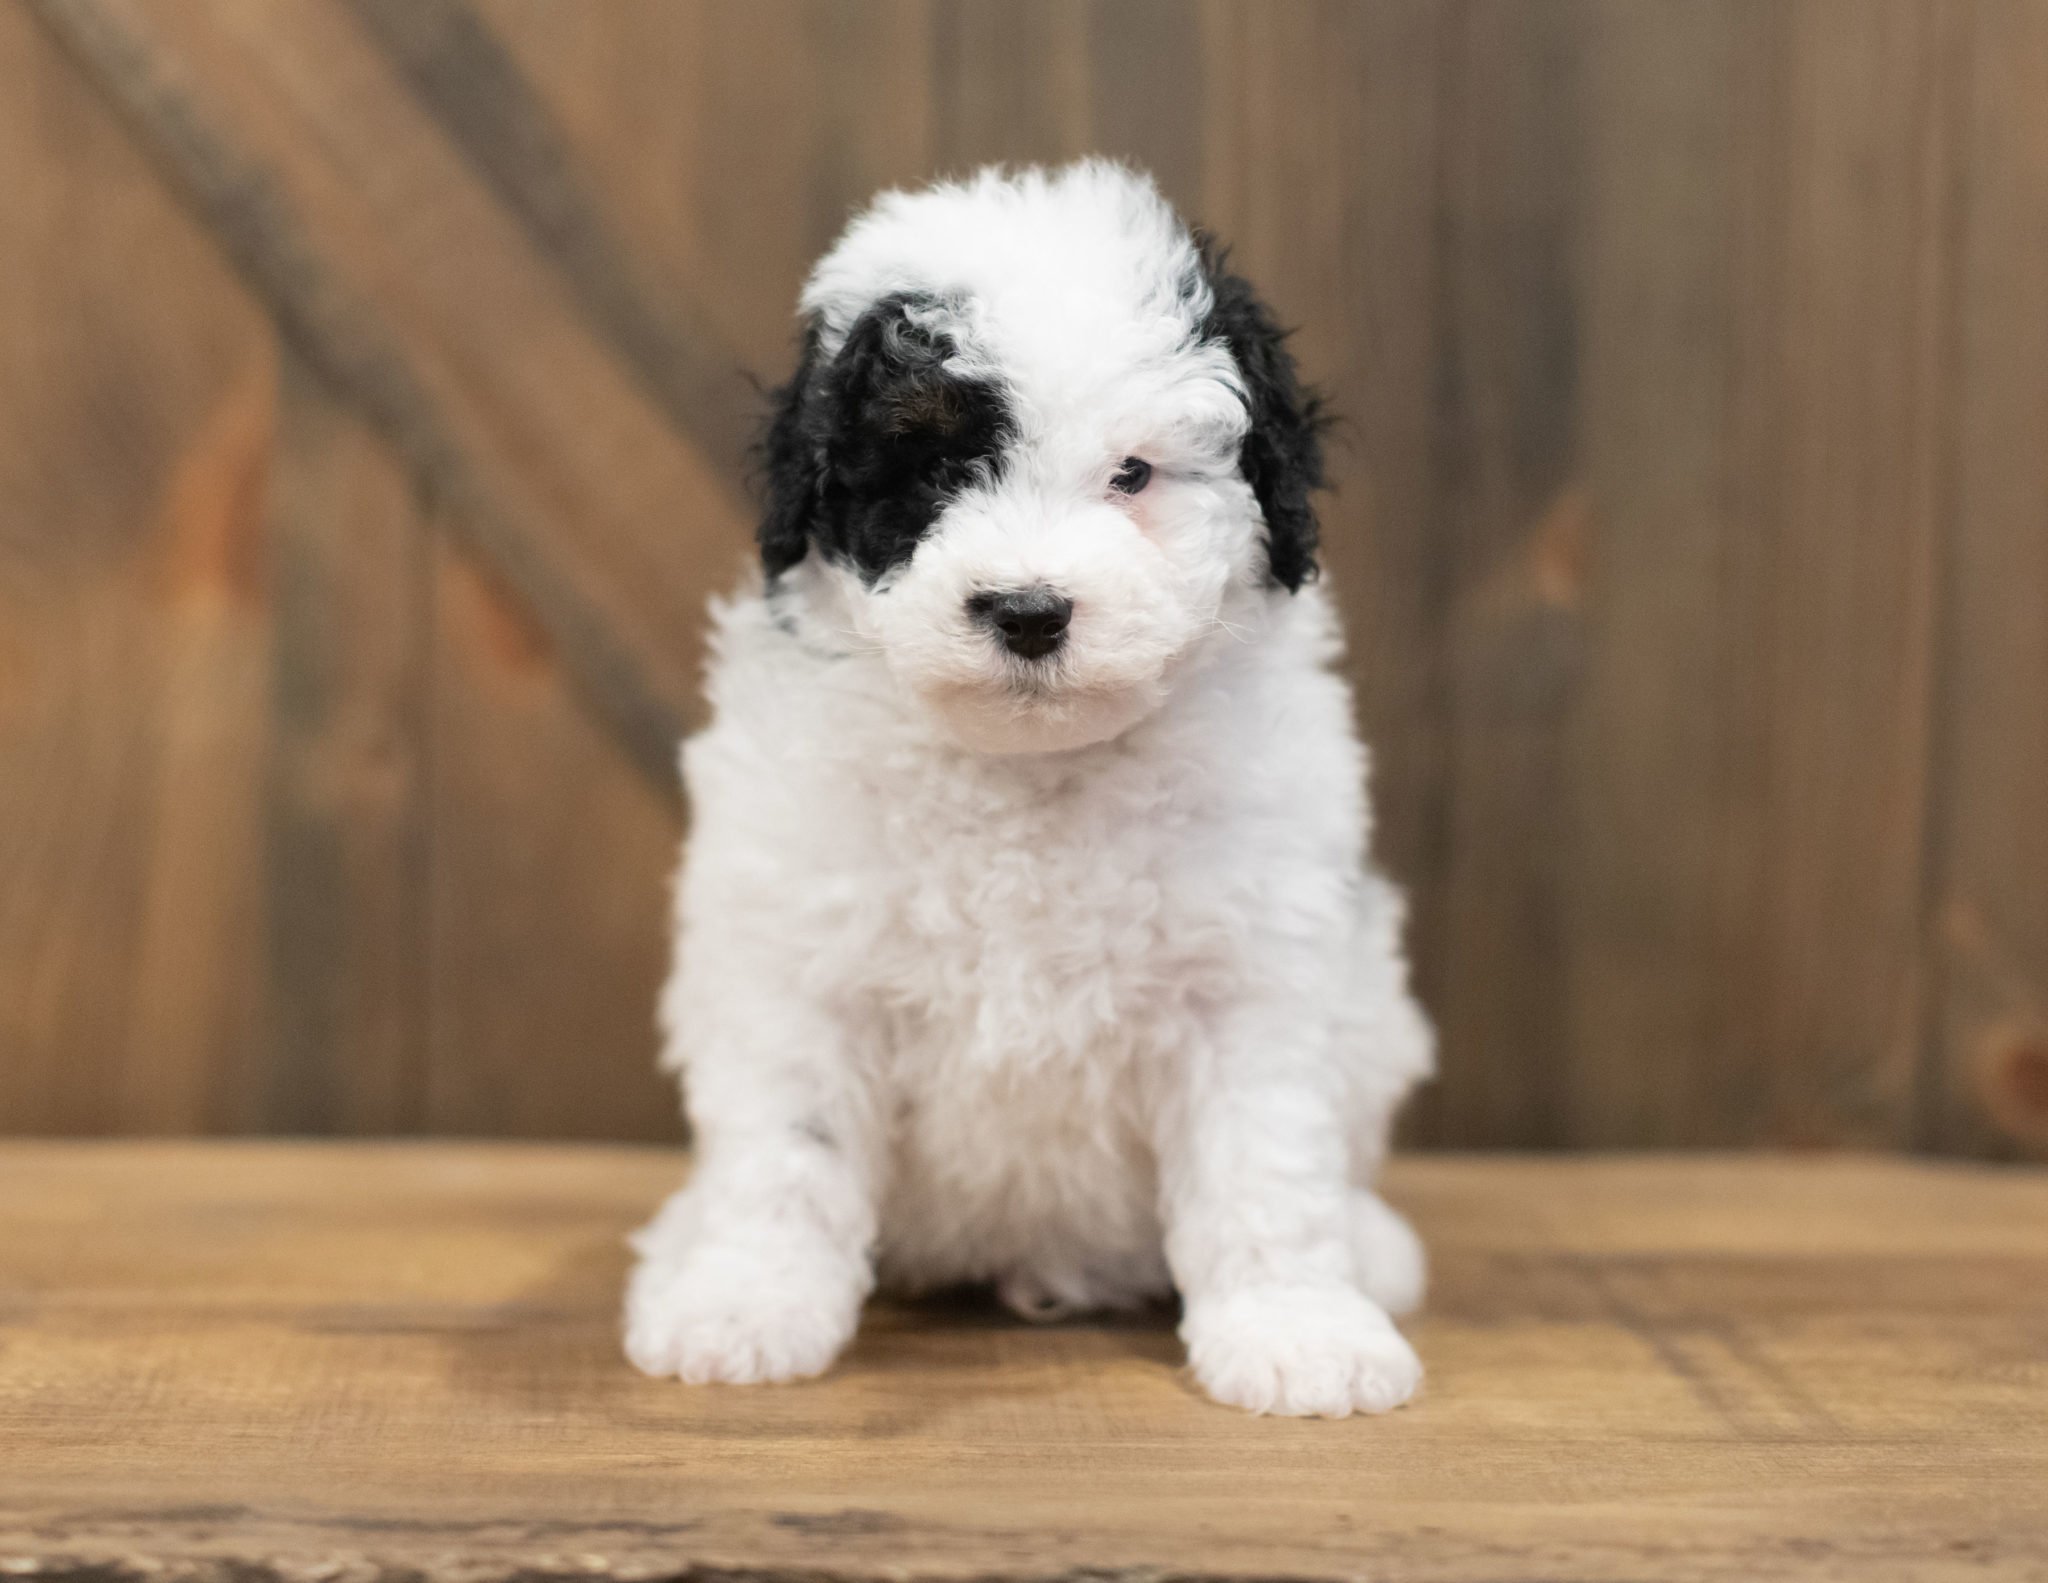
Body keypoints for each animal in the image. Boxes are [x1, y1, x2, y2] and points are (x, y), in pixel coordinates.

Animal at [626, 163, 1441, 1417]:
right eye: (931, 469)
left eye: (1131, 474)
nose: (1027, 609)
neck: (1027, 771)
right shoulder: (797, 961)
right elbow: (788, 1151)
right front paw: (744, 1307)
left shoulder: (1249, 974)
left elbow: (1261, 1162)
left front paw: (1296, 1331)